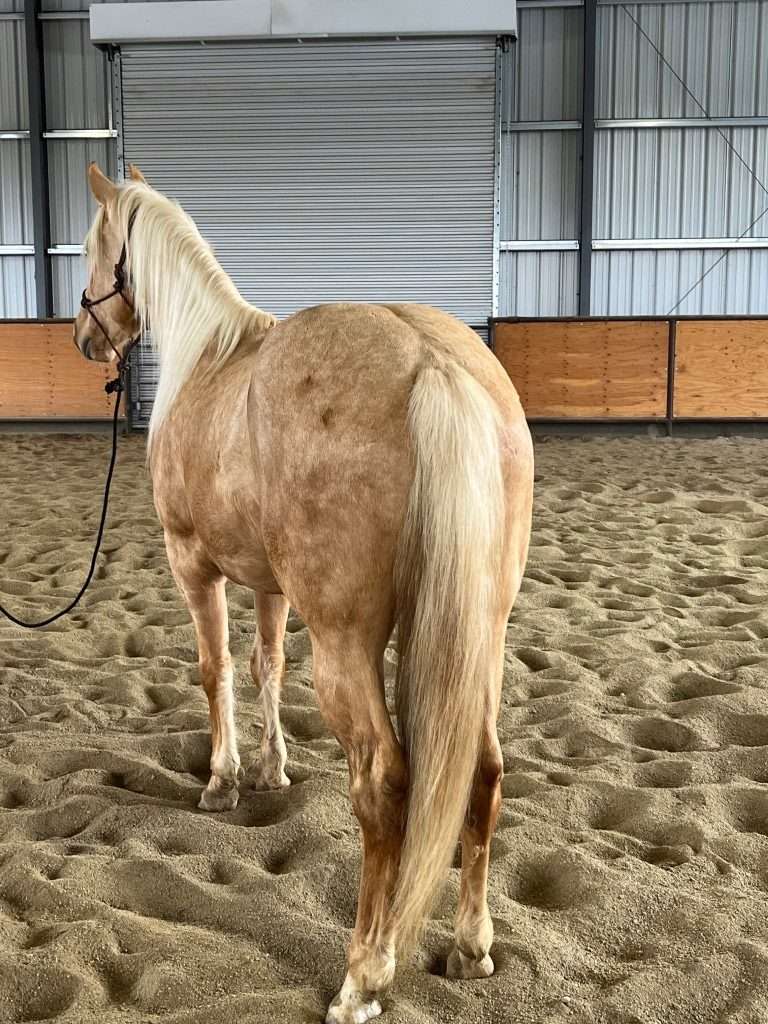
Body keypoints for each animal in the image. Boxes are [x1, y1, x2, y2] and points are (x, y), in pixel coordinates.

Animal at [74, 162, 533, 1023]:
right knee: (484, 771)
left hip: (346, 642)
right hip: (482, 635)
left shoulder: (194, 565)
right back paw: (470, 947)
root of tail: (433, 364)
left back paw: (362, 977)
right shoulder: (270, 586)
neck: (207, 356)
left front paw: (222, 782)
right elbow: (265, 668)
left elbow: (215, 670)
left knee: (383, 784)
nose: (85, 335)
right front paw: (272, 772)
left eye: (93, 244)